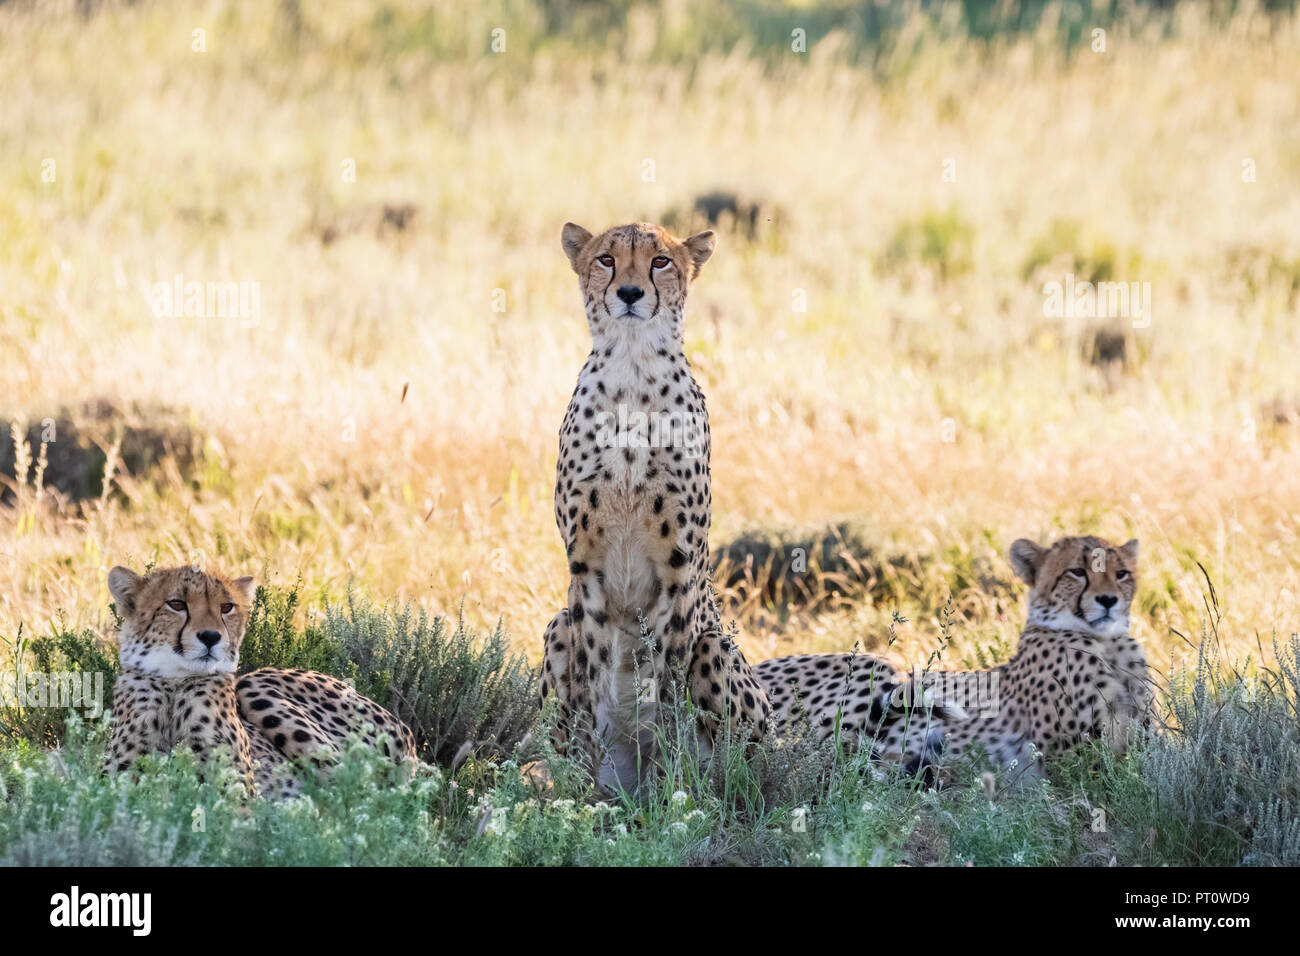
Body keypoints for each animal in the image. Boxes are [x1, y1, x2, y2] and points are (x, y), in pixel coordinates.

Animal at [106, 564, 413, 796]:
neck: (175, 683)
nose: (210, 636)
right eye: (176, 604)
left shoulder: (240, 795)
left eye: (227, 607)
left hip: (253, 685)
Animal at [540, 223, 769, 790]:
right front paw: (580, 787)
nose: (628, 293)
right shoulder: (585, 568)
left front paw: (674, 786)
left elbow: (667, 684)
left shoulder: (678, 566)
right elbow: (590, 679)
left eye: (660, 261)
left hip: (719, 650)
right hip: (556, 624)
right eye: (606, 259)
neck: (632, 368)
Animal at [759, 538, 1154, 785]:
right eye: (1077, 572)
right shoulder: (1067, 757)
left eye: (1122, 574)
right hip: (879, 668)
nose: (1108, 600)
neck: (1107, 642)